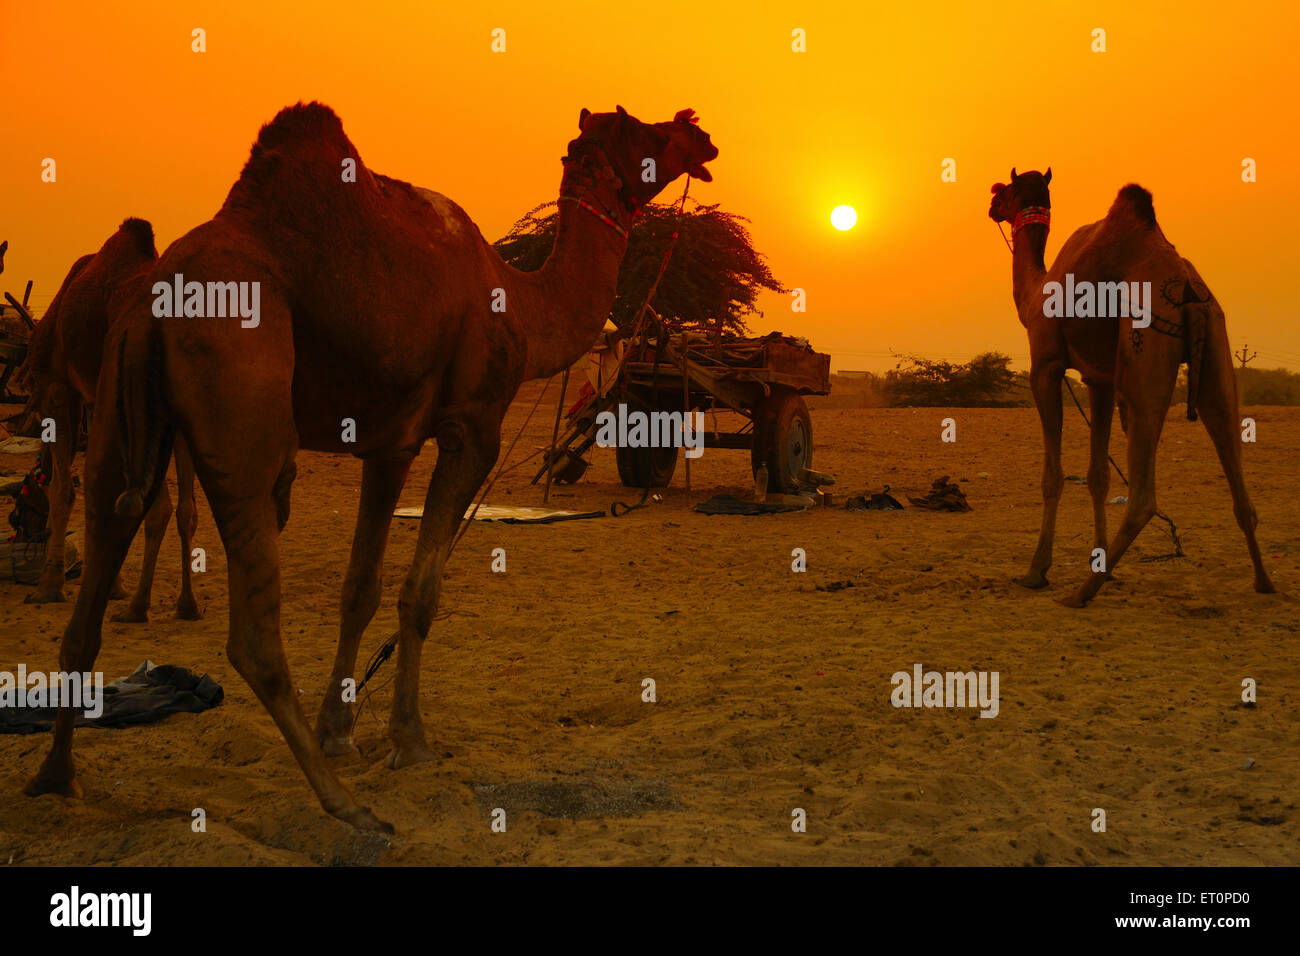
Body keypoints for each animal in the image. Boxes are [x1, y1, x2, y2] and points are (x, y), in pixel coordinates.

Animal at [13, 221, 200, 616]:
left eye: (20, 511)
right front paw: (111, 587)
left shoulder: (57, 387)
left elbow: (63, 490)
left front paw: (49, 586)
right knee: (184, 508)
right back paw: (184, 605)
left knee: (159, 506)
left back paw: (139, 607)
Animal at [987, 166, 1274, 606]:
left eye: (1006, 188)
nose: (990, 201)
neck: (1035, 294)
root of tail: (1186, 288)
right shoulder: (1100, 379)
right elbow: (1098, 476)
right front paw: (1102, 563)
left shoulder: (1046, 366)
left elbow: (1054, 475)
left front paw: (1038, 570)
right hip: (1217, 345)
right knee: (1233, 461)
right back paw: (1263, 582)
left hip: (1145, 352)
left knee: (1142, 496)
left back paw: (1081, 593)